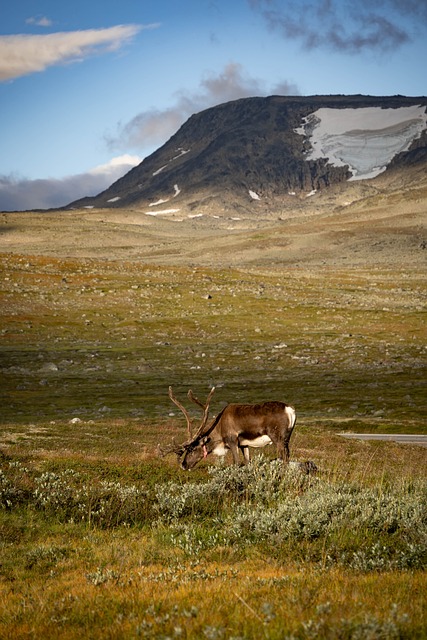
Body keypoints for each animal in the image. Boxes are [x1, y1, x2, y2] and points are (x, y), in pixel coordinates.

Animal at [159, 386, 297, 471]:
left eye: (192, 449)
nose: (183, 465)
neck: (219, 428)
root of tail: (290, 410)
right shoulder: (244, 444)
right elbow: (247, 462)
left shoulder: (232, 441)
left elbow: (236, 463)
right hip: (287, 438)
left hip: (277, 438)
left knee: (284, 458)